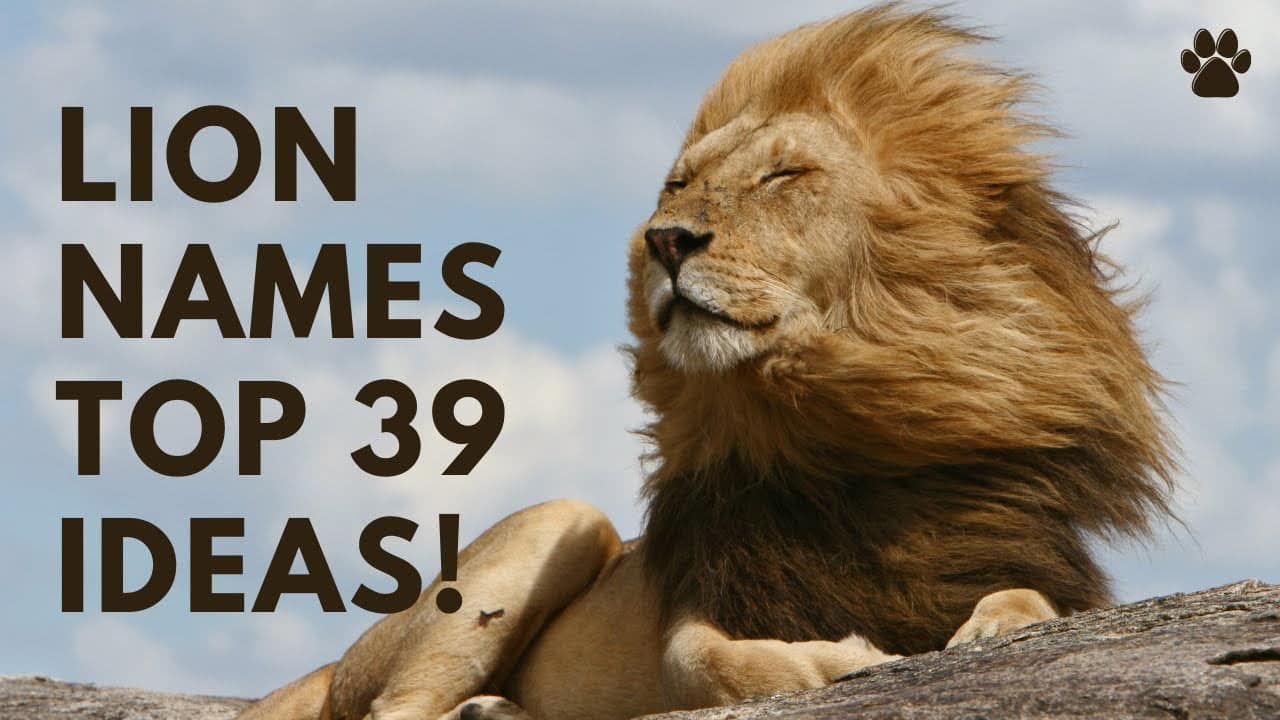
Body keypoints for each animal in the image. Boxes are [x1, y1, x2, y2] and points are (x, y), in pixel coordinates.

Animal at [238, 5, 1175, 720]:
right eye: (677, 185)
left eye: (781, 176)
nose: (666, 240)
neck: (842, 435)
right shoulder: (698, 610)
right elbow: (711, 664)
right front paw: (843, 660)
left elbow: (1028, 600)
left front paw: (989, 630)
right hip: (559, 524)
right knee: (393, 710)